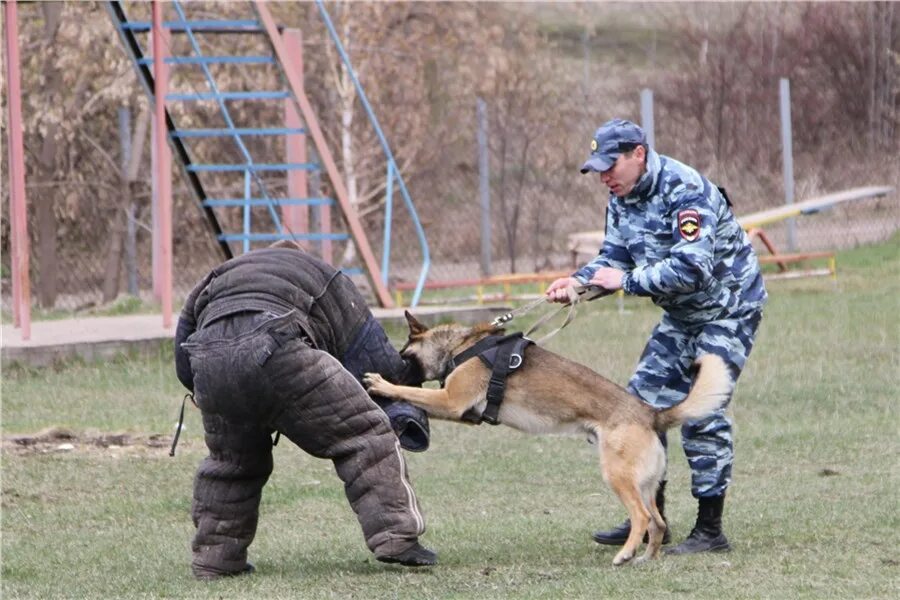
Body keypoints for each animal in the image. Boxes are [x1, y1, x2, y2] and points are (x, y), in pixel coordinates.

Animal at [362, 312, 736, 564]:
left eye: (402, 357)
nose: (392, 369)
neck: (461, 346)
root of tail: (650, 413)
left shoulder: (451, 401)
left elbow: (413, 392)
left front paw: (383, 384)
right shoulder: (458, 411)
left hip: (617, 476)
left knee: (643, 518)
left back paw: (625, 556)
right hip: (644, 483)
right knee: (656, 521)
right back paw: (644, 558)